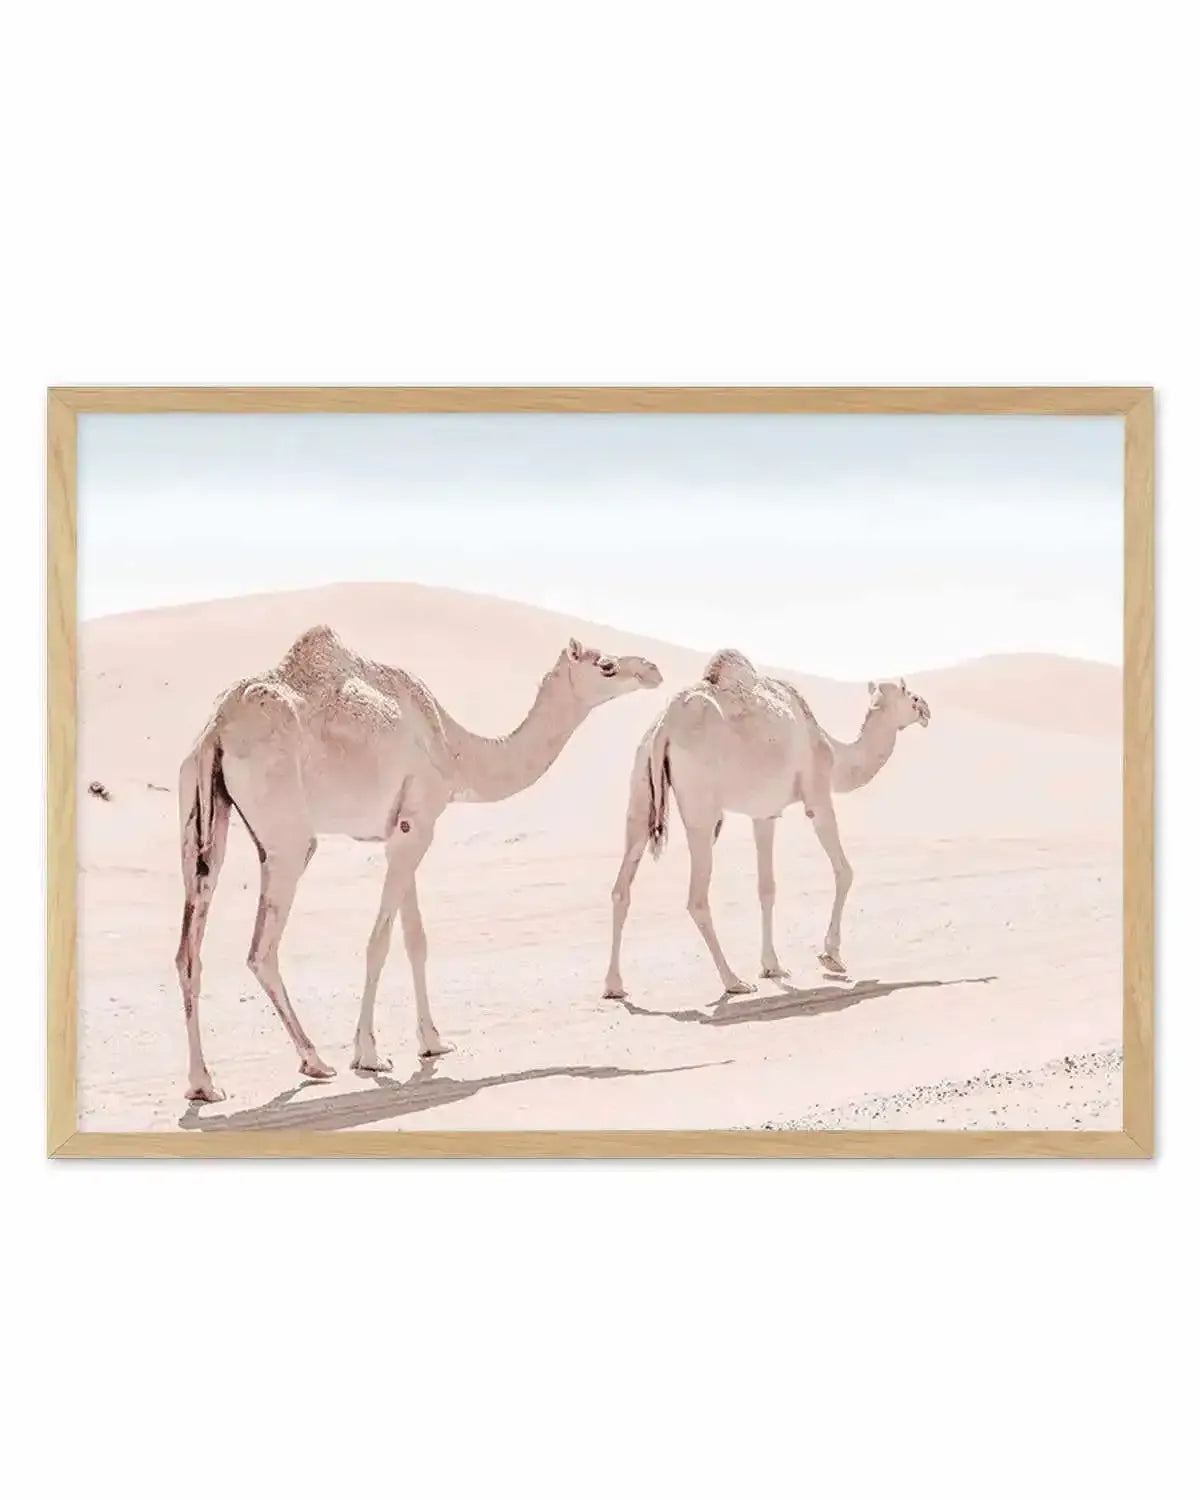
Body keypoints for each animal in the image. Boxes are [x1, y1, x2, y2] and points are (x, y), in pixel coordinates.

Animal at [174, 624, 662, 1102]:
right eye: (606, 665)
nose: (653, 670)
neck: (454, 749)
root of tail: (217, 729)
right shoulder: (418, 824)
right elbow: (380, 942)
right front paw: (369, 1055)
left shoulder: (405, 826)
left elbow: (415, 940)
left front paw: (432, 1042)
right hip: (288, 837)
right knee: (261, 950)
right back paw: (314, 1060)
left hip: (199, 817)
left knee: (188, 950)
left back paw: (203, 1084)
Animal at [603, 649, 930, 999]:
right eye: (911, 695)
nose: (926, 709)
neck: (832, 751)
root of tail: (664, 726)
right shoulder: (817, 796)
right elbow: (844, 871)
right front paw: (831, 956)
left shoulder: (765, 814)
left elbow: (766, 887)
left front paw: (772, 965)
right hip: (701, 807)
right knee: (696, 898)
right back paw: (733, 981)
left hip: (641, 788)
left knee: (622, 887)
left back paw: (614, 985)